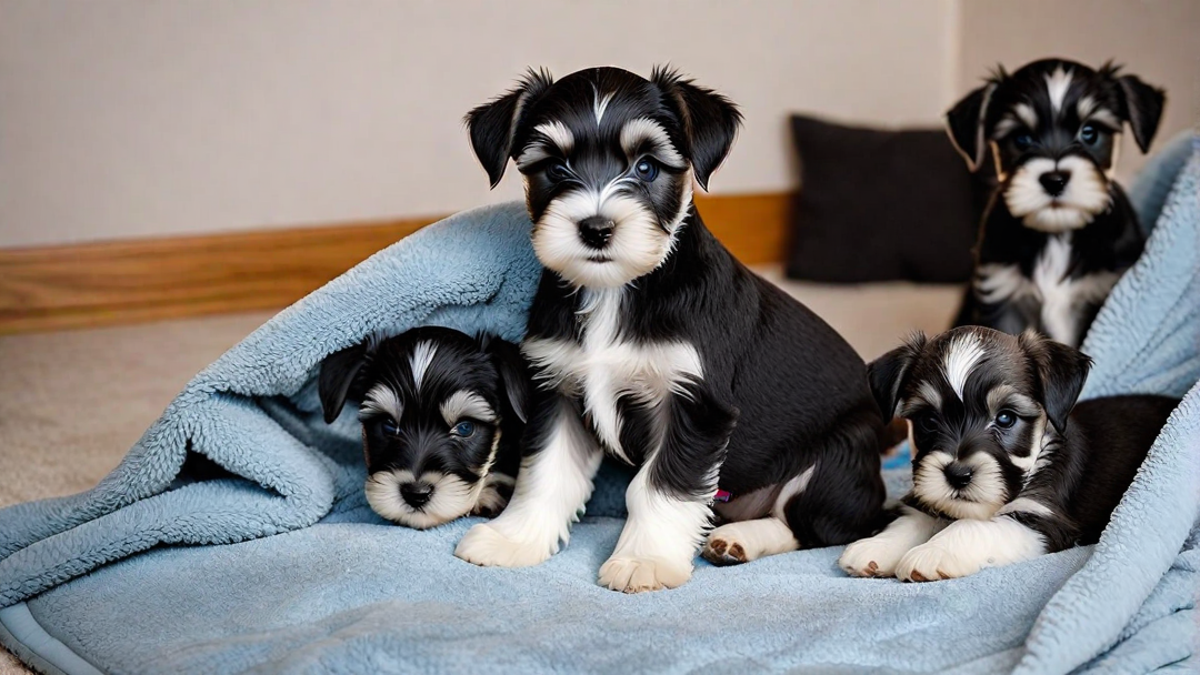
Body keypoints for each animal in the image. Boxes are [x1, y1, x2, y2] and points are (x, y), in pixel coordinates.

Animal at [840, 324, 1176, 578]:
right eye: (928, 420)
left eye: (1005, 418)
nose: (957, 474)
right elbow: (918, 518)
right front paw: (879, 544)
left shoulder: (1044, 521)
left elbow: (977, 526)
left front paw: (933, 551)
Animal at [945, 57, 1161, 345]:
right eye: (1021, 138)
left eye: (1090, 132)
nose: (1055, 180)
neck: (1057, 234)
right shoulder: (1002, 292)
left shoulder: (1103, 290)